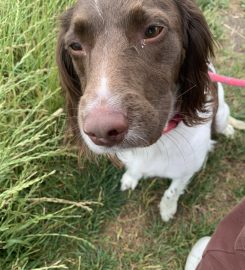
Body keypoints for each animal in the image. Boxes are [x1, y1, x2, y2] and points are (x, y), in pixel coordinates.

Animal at [56, 0, 234, 221]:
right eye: (75, 46)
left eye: (153, 30)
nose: (101, 130)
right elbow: (134, 169)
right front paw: (131, 178)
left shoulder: (188, 169)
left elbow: (173, 190)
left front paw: (167, 208)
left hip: (221, 113)